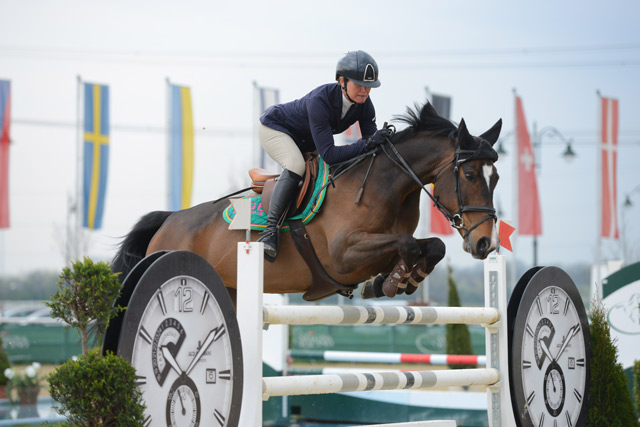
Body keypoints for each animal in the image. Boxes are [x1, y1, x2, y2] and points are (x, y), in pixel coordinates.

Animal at [112, 103, 502, 304]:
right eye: (470, 175)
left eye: (496, 177)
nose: (485, 243)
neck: (386, 186)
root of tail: (168, 221)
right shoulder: (345, 254)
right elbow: (406, 244)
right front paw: (391, 283)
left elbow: (432, 246)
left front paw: (399, 280)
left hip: (231, 290)